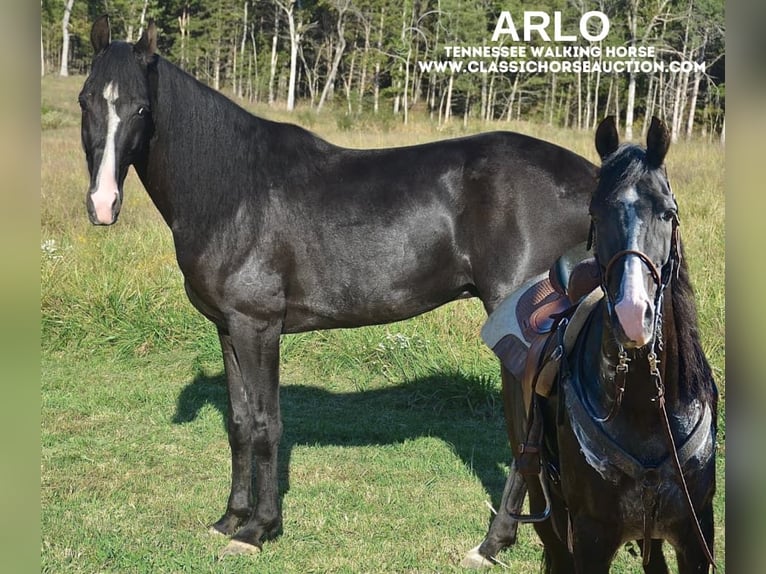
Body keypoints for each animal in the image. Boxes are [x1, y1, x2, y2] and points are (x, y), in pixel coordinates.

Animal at [79, 16, 600, 560]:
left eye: (142, 108)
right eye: (86, 100)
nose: (102, 204)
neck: (233, 192)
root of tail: (590, 176)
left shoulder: (258, 327)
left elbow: (266, 425)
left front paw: (257, 529)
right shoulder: (228, 328)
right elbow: (240, 423)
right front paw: (229, 519)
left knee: (528, 435)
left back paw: (490, 543)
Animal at [468, 116, 720, 572]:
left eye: (668, 212)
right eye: (595, 213)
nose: (632, 315)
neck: (646, 414)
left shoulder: (696, 535)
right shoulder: (590, 536)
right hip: (544, 499)